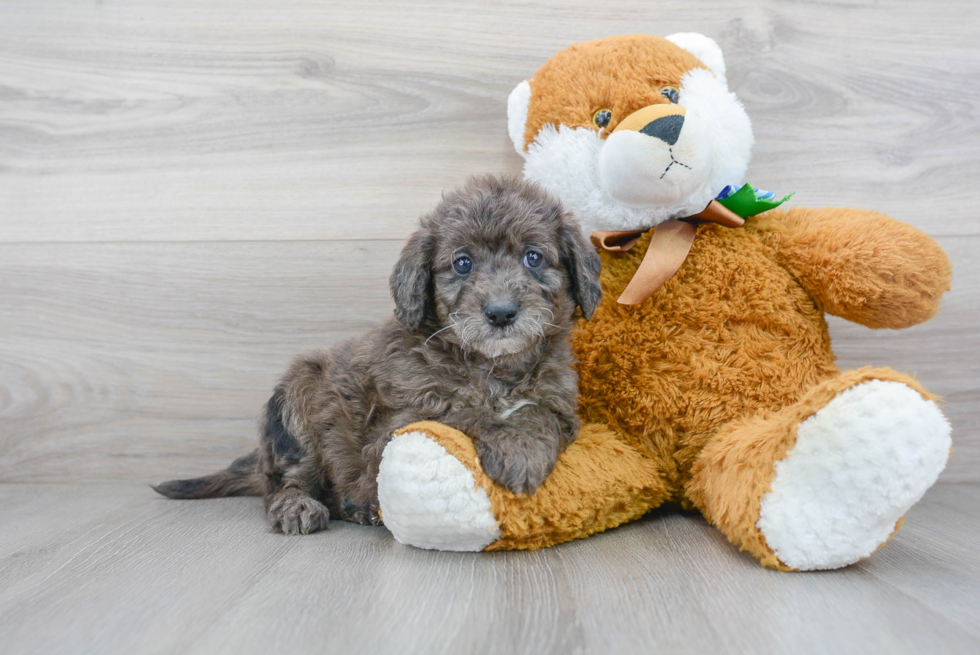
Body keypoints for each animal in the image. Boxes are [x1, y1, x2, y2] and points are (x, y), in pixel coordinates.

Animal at [154, 174, 600, 532]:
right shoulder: (399, 421)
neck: (492, 367)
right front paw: (510, 445)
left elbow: (539, 413)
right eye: (462, 263)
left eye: (533, 257)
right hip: (297, 400)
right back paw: (299, 507)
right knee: (284, 481)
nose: (502, 313)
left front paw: (522, 446)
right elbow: (460, 413)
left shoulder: (561, 405)